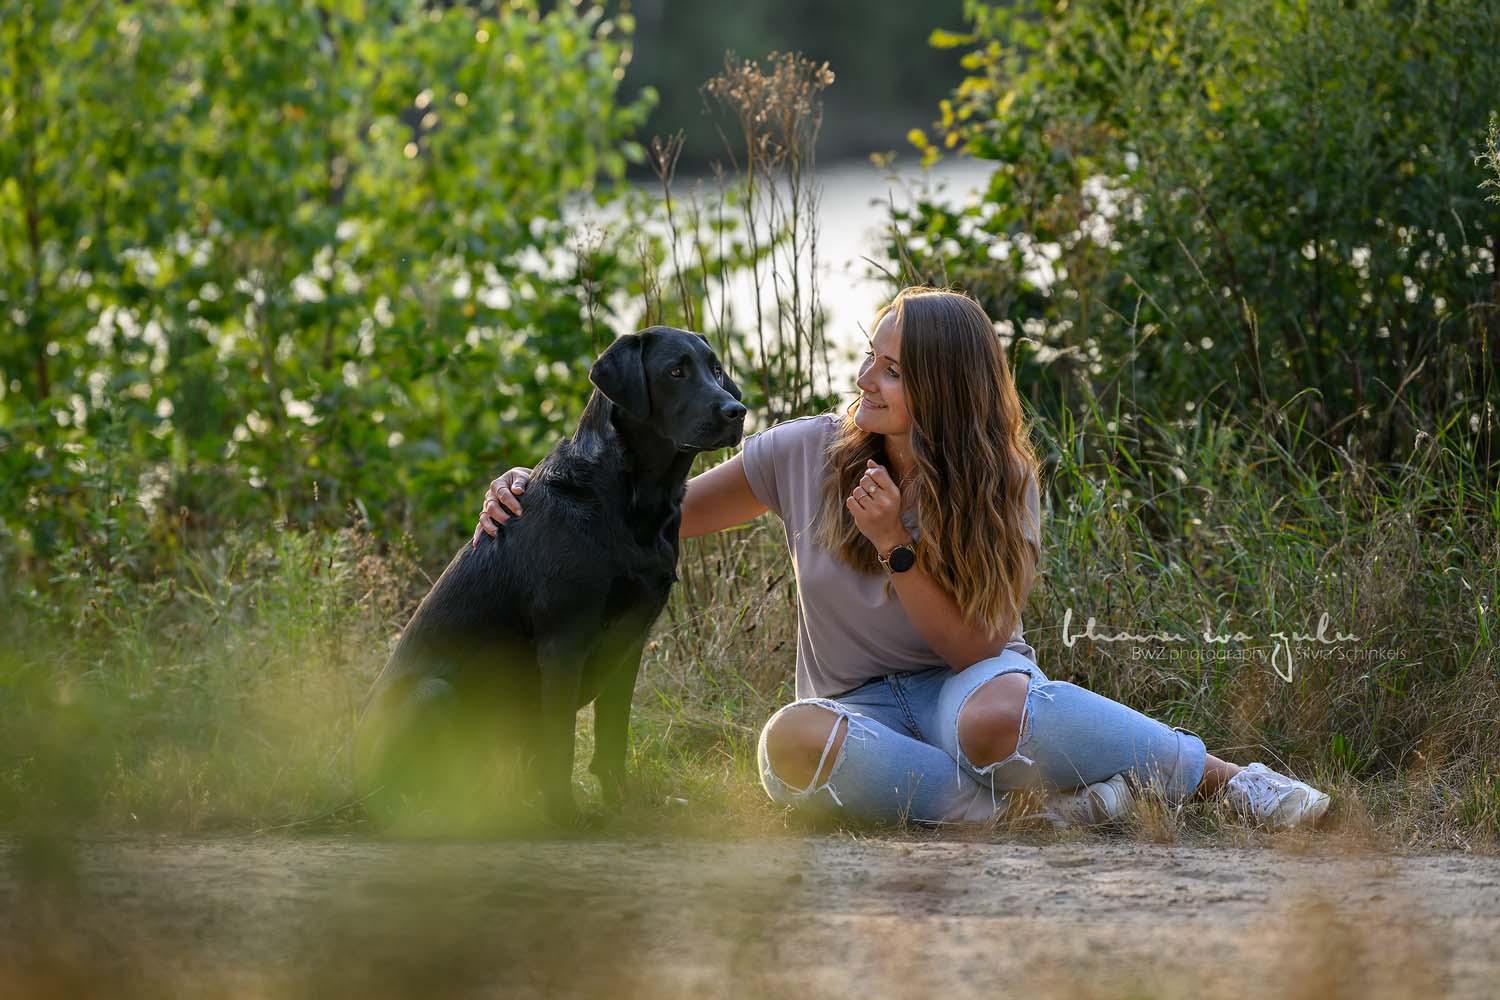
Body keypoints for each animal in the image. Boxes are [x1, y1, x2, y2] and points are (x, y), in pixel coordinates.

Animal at [352, 325, 750, 827]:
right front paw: (566, 815)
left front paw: (622, 803)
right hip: (431, 694)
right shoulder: (564, 641)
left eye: (715, 369)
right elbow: (560, 743)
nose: (736, 410)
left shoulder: (631, 641)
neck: (634, 500)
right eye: (675, 371)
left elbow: (612, 737)